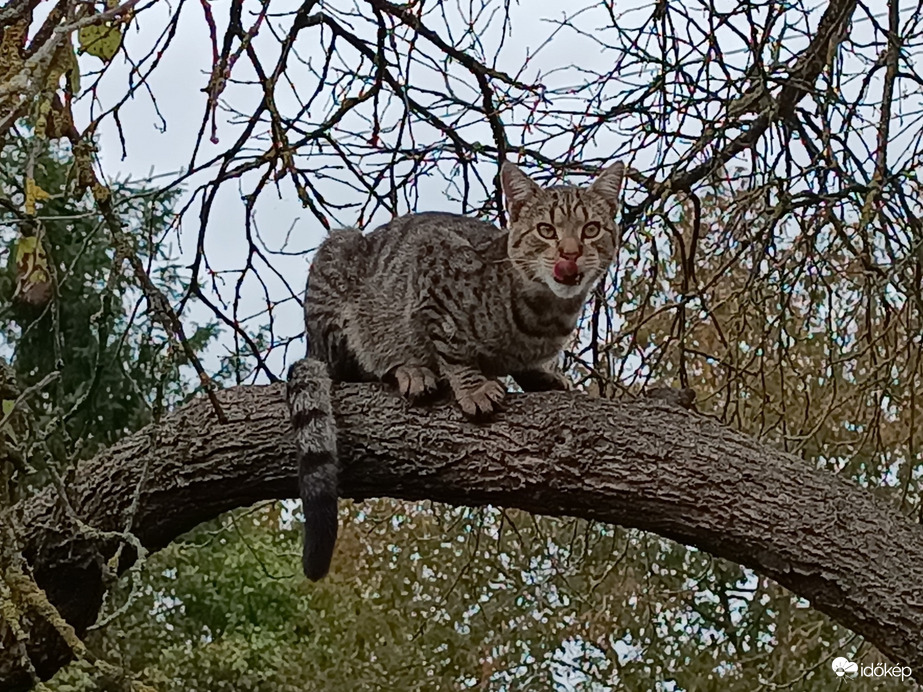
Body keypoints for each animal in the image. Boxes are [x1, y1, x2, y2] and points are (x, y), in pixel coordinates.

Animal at [286, 161, 624, 580]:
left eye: (590, 229)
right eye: (547, 230)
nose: (571, 253)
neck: (545, 314)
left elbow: (527, 366)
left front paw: (542, 376)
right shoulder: (431, 268)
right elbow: (452, 347)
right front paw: (473, 386)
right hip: (338, 263)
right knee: (355, 366)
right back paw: (409, 370)